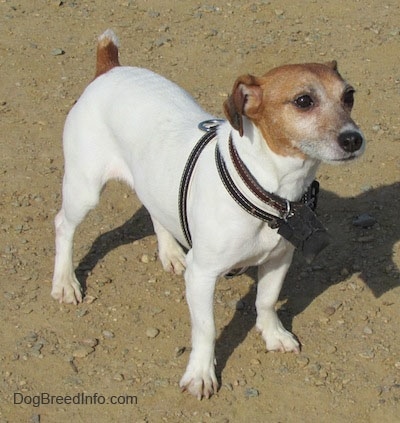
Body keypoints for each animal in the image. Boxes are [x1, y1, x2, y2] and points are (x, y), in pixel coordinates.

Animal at [52, 30, 366, 400]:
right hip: (84, 188)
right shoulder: (202, 275)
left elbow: (267, 301)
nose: (354, 139)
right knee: (63, 225)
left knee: (154, 210)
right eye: (304, 101)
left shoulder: (279, 259)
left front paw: (273, 334)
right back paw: (65, 282)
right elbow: (206, 328)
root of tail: (109, 68)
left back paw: (171, 254)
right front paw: (201, 373)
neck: (271, 190)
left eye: (349, 96)